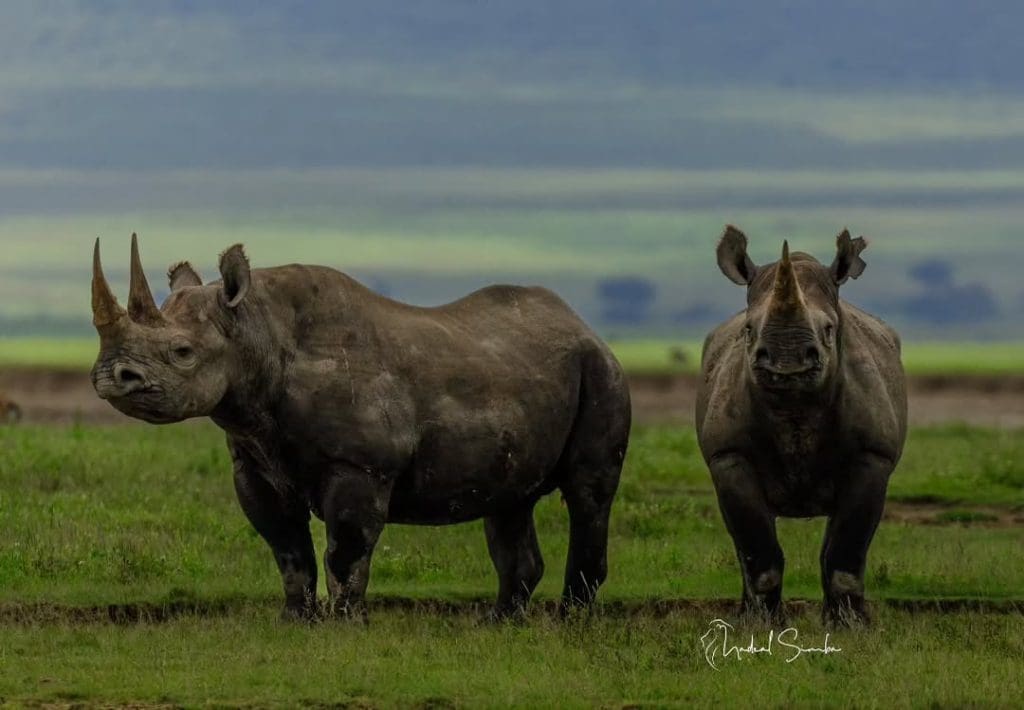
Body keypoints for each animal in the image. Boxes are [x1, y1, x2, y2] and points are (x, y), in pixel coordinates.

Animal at [90, 235, 630, 620]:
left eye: (182, 352)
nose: (110, 376)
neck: (256, 333)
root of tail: (584, 326)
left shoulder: (361, 464)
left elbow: (346, 550)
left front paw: (347, 623)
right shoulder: (254, 460)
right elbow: (288, 549)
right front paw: (296, 621)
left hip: (602, 373)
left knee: (589, 493)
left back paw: (570, 621)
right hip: (524, 375)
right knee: (510, 501)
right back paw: (499, 623)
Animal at [696, 226, 907, 624]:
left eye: (828, 329)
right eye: (749, 329)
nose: (787, 361)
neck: (794, 406)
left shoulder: (873, 455)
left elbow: (847, 548)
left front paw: (850, 627)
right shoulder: (728, 454)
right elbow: (757, 546)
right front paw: (760, 626)